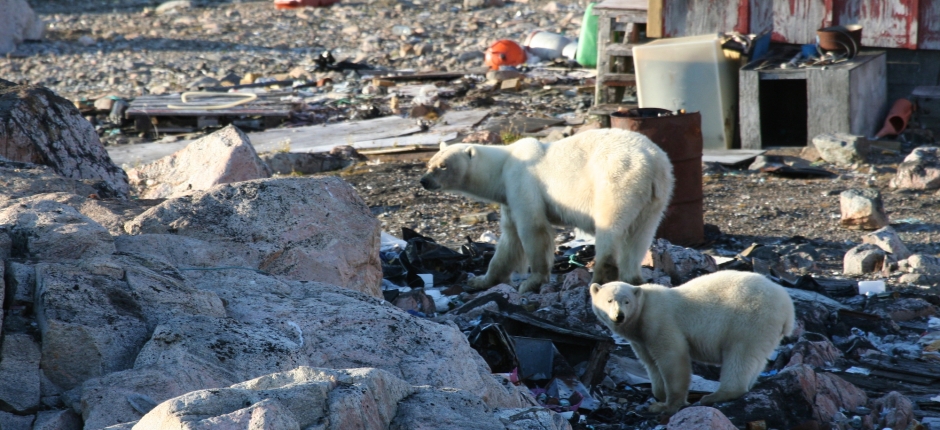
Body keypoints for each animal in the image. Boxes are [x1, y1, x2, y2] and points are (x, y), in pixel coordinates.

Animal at [419, 128, 674, 294]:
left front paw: (531, 282)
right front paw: (481, 281)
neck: (502, 166)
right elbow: (509, 240)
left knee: (610, 225)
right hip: (656, 197)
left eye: (443, 166)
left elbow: (533, 229)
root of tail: (652, 163)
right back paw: (634, 278)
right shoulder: (509, 196)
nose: (424, 180)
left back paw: (602, 278)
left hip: (617, 180)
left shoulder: (522, 182)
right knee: (639, 235)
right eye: (429, 163)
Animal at [589, 270, 795, 415]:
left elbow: (672, 356)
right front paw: (659, 395)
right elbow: (650, 362)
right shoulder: (641, 339)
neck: (642, 311)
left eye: (626, 301)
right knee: (756, 359)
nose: (619, 316)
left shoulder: (659, 320)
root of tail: (788, 308)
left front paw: (666, 405)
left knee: (740, 354)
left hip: (750, 319)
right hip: (766, 330)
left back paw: (715, 396)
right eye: (609, 300)